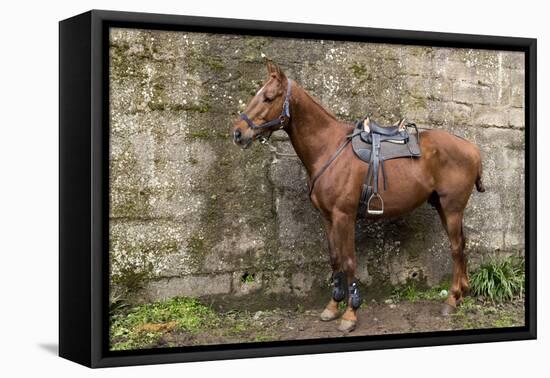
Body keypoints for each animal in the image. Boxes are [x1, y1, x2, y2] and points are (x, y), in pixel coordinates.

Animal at [231, 62, 486, 330]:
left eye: (268, 98)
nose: (238, 133)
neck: (329, 148)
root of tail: (472, 148)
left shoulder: (345, 216)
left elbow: (349, 261)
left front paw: (350, 313)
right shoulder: (328, 218)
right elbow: (335, 260)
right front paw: (333, 306)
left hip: (452, 208)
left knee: (456, 248)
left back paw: (452, 299)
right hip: (442, 207)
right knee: (462, 246)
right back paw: (461, 293)